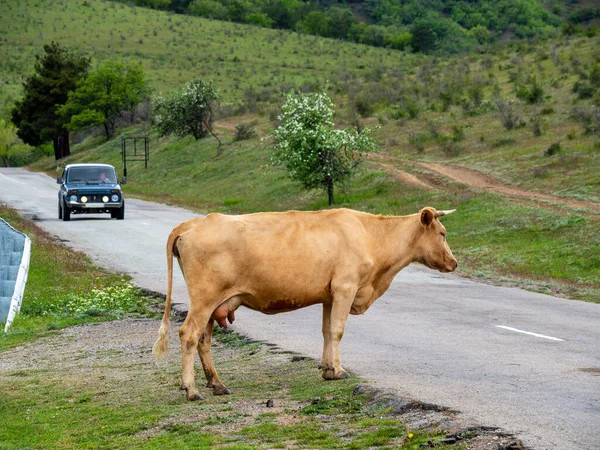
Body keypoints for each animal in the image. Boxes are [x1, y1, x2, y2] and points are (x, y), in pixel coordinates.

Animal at [152, 207, 458, 400]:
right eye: (443, 233)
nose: (455, 263)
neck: (371, 236)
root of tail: (194, 223)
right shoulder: (346, 288)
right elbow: (337, 331)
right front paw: (339, 370)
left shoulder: (330, 295)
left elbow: (326, 331)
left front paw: (327, 369)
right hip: (204, 299)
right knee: (189, 335)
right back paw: (192, 389)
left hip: (213, 303)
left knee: (203, 339)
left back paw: (217, 384)